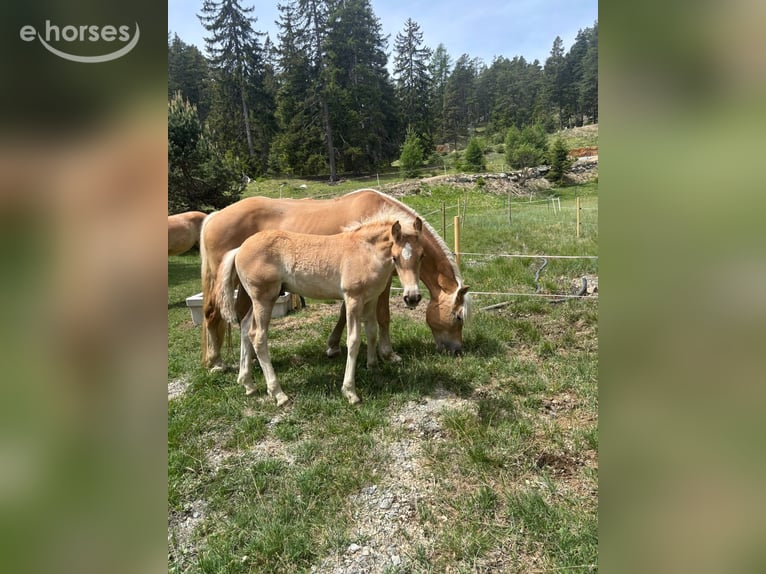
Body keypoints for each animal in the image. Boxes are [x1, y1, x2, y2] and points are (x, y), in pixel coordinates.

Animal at [200, 189, 470, 371]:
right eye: (458, 317)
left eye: (422, 256)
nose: (457, 350)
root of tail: (213, 217)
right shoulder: (380, 285)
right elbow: (383, 317)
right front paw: (388, 354)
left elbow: (342, 314)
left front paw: (333, 346)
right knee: (213, 314)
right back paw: (217, 363)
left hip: (247, 288)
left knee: (243, 319)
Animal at [215, 214, 424, 405]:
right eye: (395, 257)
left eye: (422, 255)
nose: (412, 297)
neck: (365, 252)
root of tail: (239, 249)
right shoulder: (353, 299)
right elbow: (354, 340)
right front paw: (350, 391)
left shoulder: (371, 299)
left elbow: (371, 331)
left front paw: (373, 366)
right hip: (264, 299)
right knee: (258, 336)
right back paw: (278, 393)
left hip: (259, 300)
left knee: (245, 327)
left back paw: (248, 383)